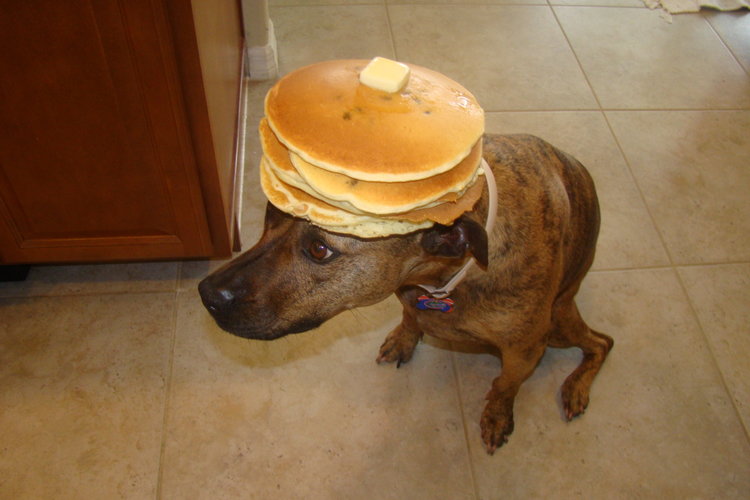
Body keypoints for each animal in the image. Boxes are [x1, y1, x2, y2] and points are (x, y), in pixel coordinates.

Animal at [201, 135, 616, 456]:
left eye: (319, 250)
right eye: (271, 211)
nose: (208, 294)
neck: (447, 276)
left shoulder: (525, 350)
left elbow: (504, 384)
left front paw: (497, 413)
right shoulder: (407, 294)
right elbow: (410, 317)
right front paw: (405, 337)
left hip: (558, 321)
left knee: (602, 342)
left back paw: (577, 387)